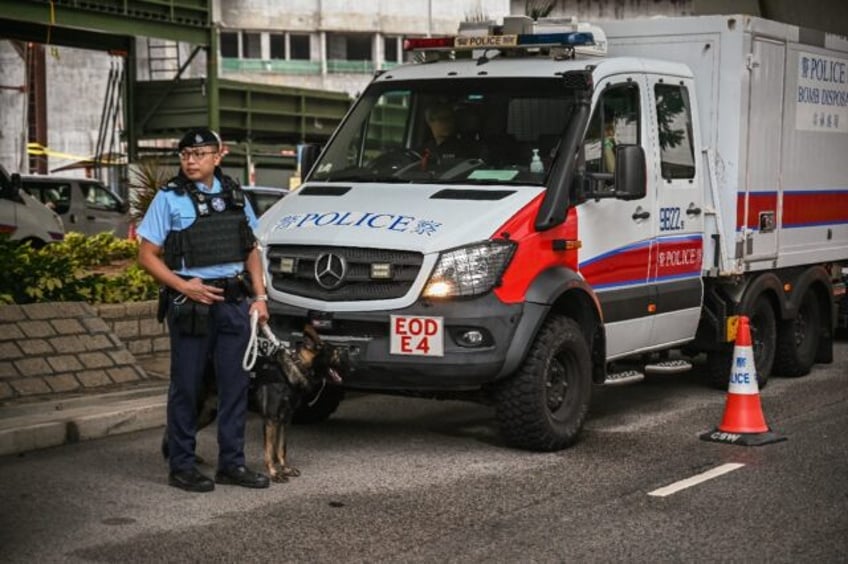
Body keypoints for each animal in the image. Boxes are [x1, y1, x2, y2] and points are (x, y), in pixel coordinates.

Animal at [162, 324, 348, 482]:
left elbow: (281, 448)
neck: (296, 367)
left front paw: (285, 468)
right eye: (336, 353)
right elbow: (270, 451)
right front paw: (274, 473)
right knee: (175, 427)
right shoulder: (271, 420)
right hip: (196, 407)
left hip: (208, 414)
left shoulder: (284, 421)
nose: (350, 360)